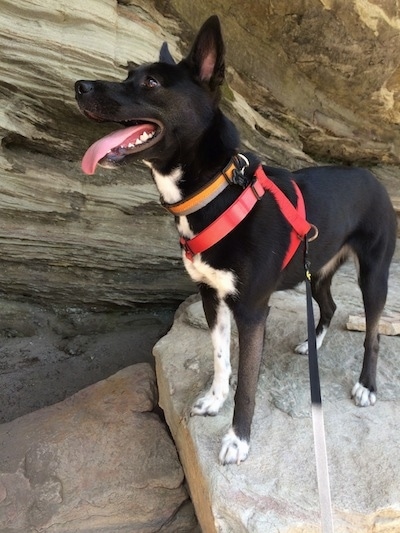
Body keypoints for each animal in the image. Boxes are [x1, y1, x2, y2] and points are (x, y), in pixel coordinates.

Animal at [75, 14, 396, 464]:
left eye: (151, 83)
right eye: (127, 76)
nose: (79, 86)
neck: (217, 192)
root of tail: (372, 177)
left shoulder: (252, 311)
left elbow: (247, 383)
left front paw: (238, 438)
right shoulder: (212, 296)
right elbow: (221, 359)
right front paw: (214, 399)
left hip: (373, 274)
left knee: (372, 333)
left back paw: (367, 385)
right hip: (316, 268)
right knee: (329, 305)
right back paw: (310, 344)